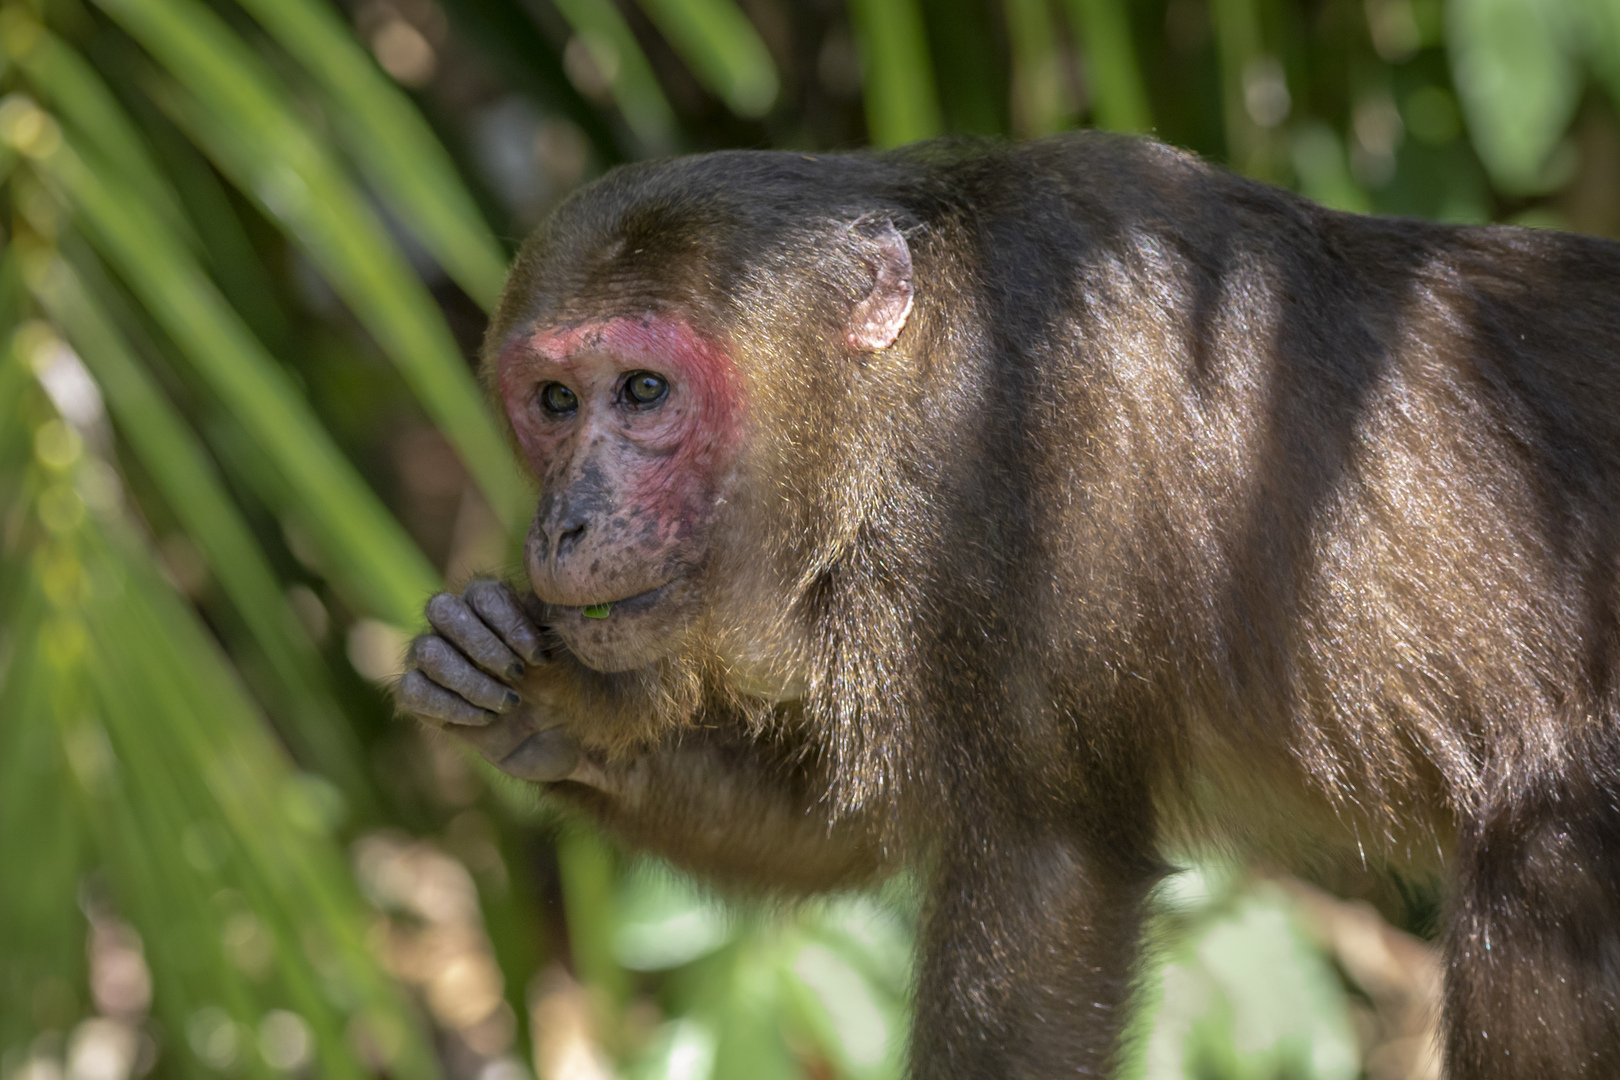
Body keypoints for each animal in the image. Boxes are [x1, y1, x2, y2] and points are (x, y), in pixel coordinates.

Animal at [395, 131, 1620, 1075]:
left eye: (643, 392)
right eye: (555, 401)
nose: (565, 523)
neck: (910, 393)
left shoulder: (1029, 473)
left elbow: (1049, 873)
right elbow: (854, 825)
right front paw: (530, 696)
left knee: (1547, 863)